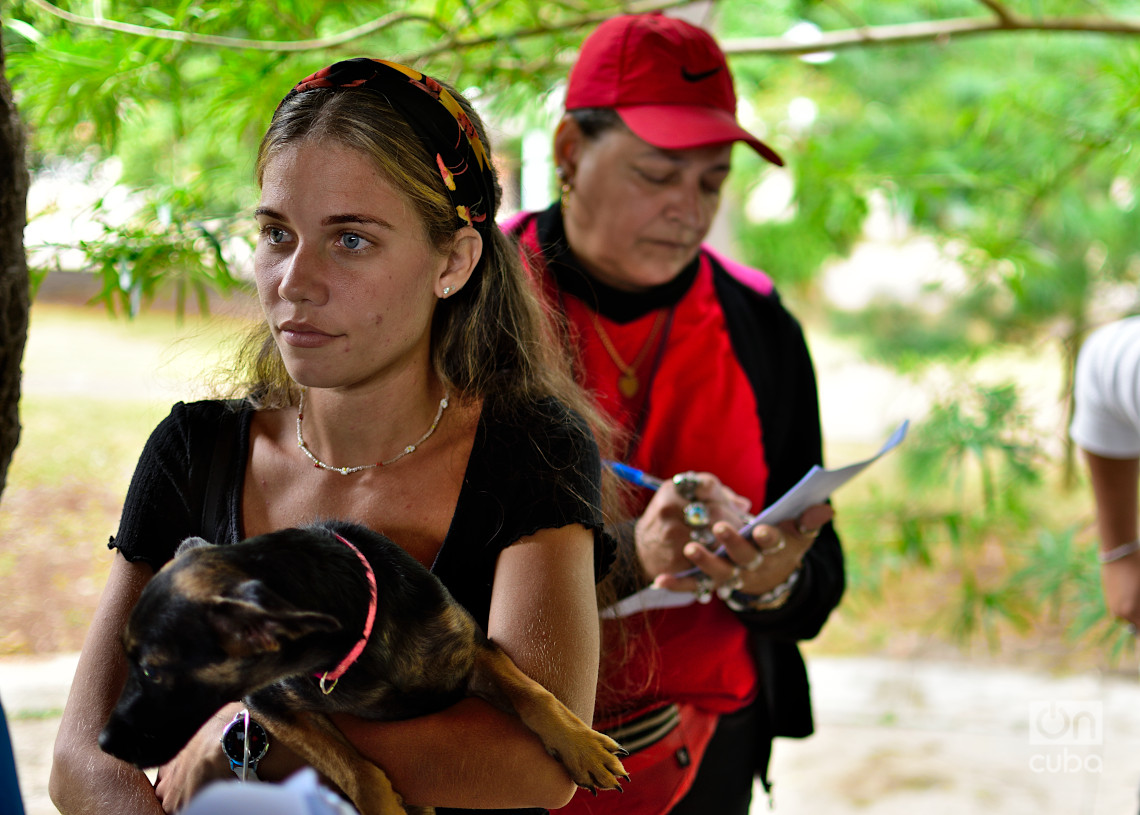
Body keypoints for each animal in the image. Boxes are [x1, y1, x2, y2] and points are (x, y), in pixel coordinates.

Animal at [99, 522, 629, 815]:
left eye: (153, 672)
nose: (103, 743)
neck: (359, 643)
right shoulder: (273, 704)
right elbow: (356, 769)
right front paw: (389, 807)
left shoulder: (476, 653)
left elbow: (534, 695)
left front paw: (582, 746)